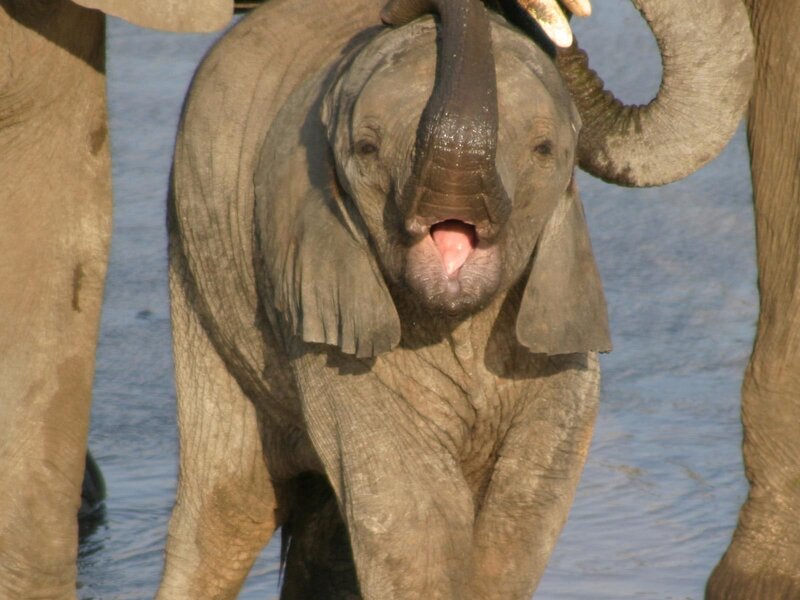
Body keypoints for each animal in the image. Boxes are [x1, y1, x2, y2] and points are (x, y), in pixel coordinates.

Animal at [160, 0, 752, 597]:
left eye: (544, 150)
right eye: (366, 149)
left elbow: (523, 511)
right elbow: (415, 516)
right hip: (199, 274)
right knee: (225, 512)